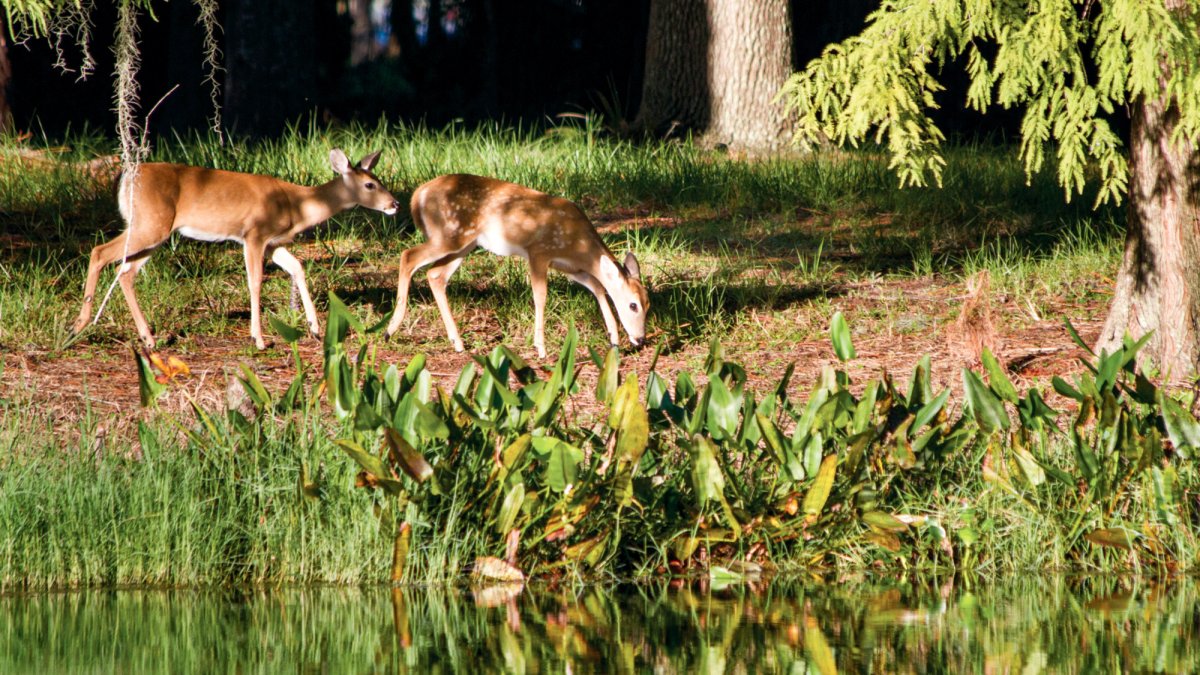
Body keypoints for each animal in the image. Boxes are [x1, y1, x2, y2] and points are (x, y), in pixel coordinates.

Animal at [70, 147, 398, 345]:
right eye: (370, 185)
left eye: (379, 179)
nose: (394, 204)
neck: (298, 204)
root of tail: (125, 179)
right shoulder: (255, 233)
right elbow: (255, 282)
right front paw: (259, 339)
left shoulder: (273, 243)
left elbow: (298, 268)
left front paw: (315, 328)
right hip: (149, 224)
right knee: (99, 253)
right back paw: (81, 323)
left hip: (153, 231)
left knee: (126, 272)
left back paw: (148, 338)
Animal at [384, 171, 648, 357]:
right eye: (633, 305)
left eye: (648, 304)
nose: (641, 339)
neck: (580, 245)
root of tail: (418, 194)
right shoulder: (539, 252)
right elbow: (541, 296)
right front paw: (540, 348)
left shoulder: (570, 267)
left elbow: (598, 286)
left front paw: (614, 338)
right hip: (448, 235)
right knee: (408, 256)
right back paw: (390, 329)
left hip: (464, 243)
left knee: (435, 274)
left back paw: (457, 342)